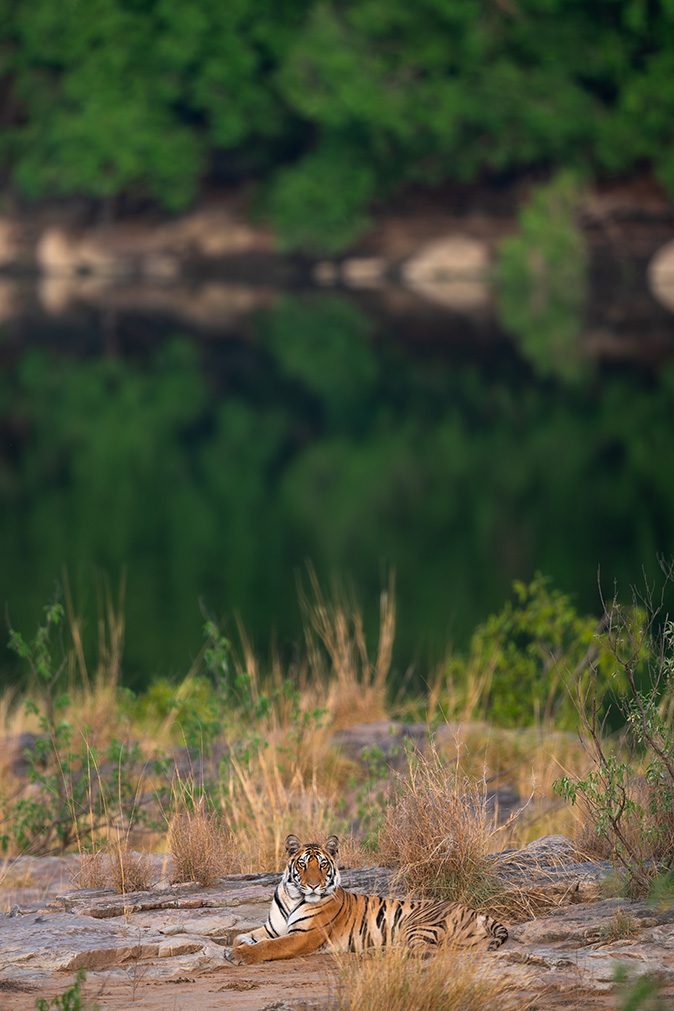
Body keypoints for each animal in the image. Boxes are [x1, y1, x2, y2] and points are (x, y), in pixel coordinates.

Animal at [224, 833, 508, 964]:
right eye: (303, 865)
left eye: (323, 865)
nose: (314, 885)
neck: (294, 895)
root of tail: (474, 911)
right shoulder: (274, 928)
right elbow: (243, 936)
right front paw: (239, 945)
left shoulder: (303, 936)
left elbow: (269, 947)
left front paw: (238, 954)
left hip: (416, 923)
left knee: (426, 951)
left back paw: (373, 952)